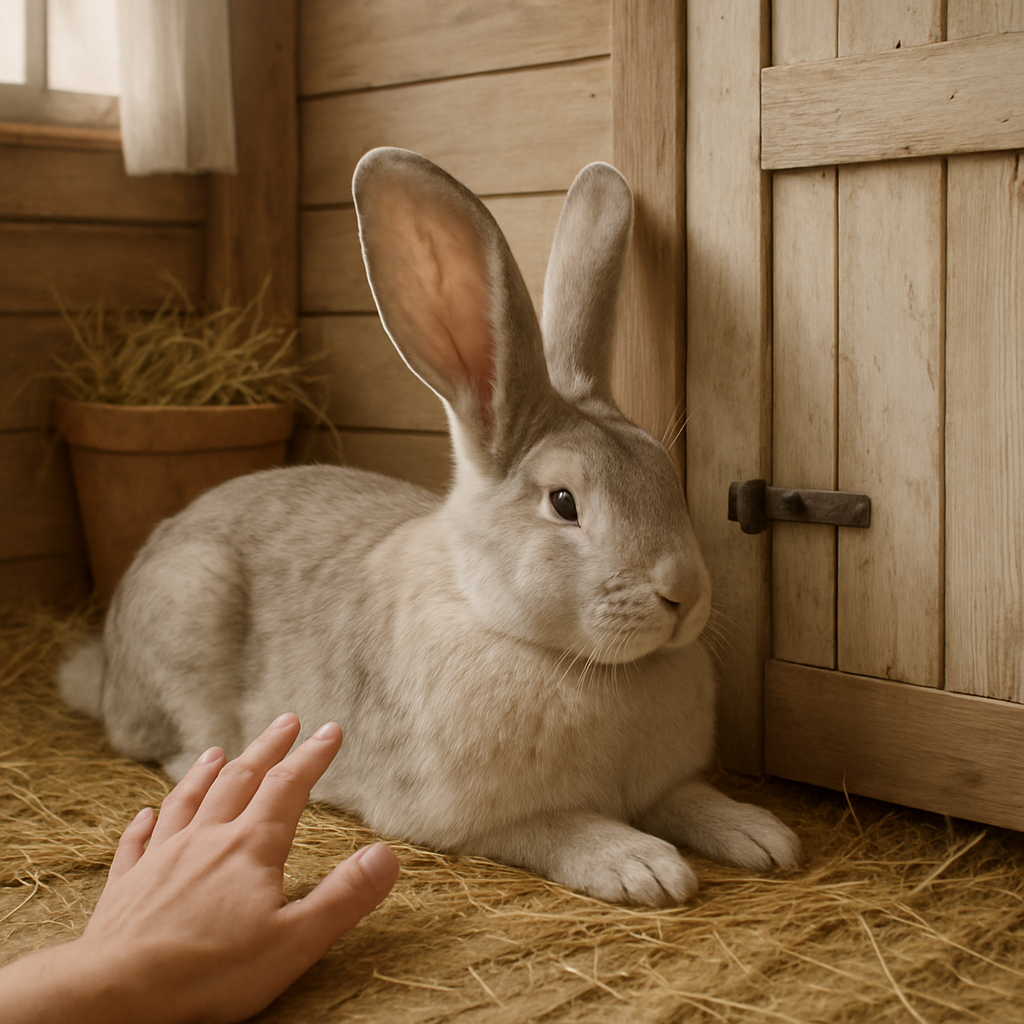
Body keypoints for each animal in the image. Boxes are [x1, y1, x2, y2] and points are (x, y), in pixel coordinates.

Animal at [58, 147, 801, 905]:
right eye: (564, 502)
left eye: (666, 477)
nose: (683, 593)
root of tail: (106, 670)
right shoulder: (473, 816)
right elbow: (558, 828)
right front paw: (643, 866)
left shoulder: (664, 786)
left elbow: (688, 797)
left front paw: (762, 835)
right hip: (190, 602)